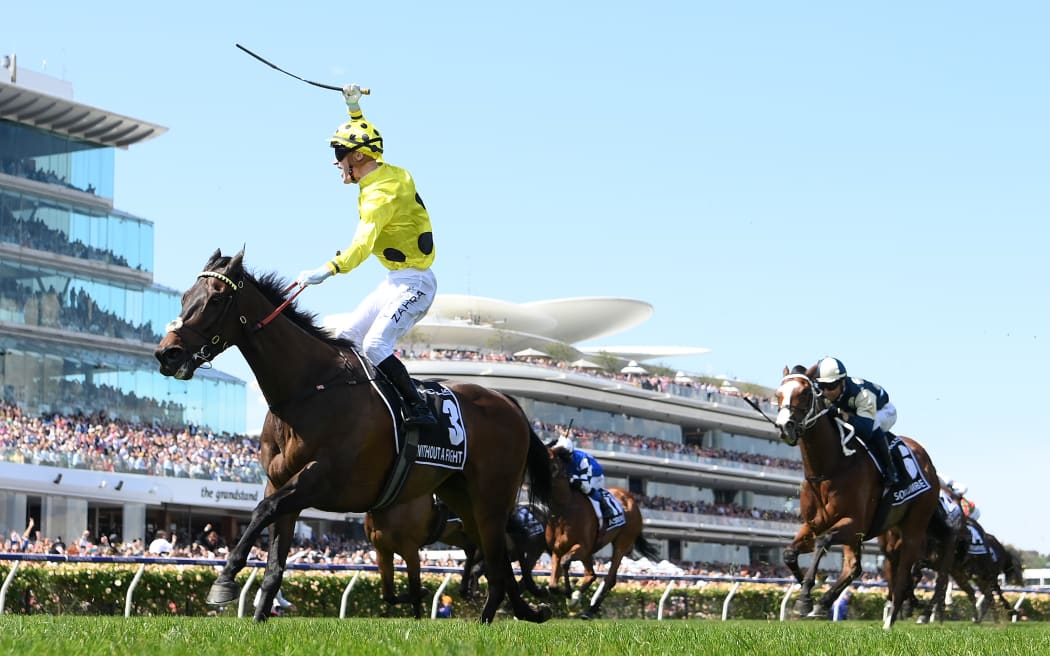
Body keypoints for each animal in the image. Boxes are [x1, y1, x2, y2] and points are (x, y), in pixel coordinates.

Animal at [546, 442, 651, 617]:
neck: (564, 509)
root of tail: (630, 498)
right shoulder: (557, 550)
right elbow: (553, 586)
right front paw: (569, 596)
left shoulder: (581, 546)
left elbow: (566, 562)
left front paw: (570, 595)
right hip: (590, 551)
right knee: (592, 575)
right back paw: (585, 605)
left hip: (621, 544)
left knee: (608, 578)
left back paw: (589, 609)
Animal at [776, 365, 940, 625]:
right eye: (778, 394)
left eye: (804, 393)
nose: (785, 427)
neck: (830, 467)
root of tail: (928, 463)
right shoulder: (813, 524)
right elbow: (790, 553)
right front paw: (808, 592)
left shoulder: (854, 523)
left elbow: (823, 541)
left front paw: (805, 597)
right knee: (854, 568)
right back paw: (824, 604)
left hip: (913, 527)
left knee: (904, 571)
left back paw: (895, 615)